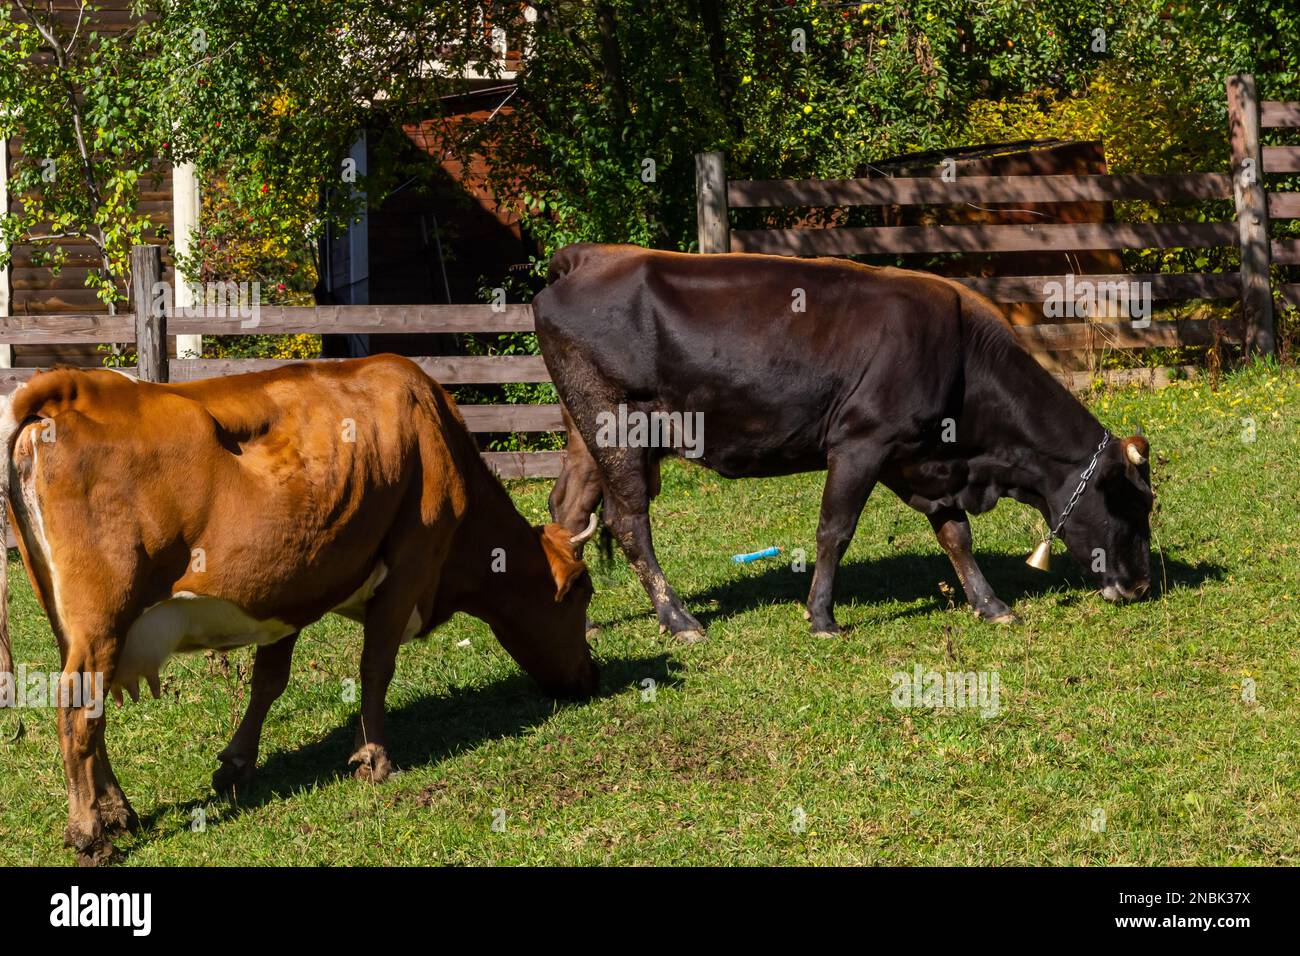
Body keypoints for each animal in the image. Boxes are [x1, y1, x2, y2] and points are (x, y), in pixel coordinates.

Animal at [0, 356, 595, 868]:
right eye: (581, 594)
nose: (590, 676)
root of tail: (71, 387)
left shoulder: (287, 585)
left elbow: (269, 680)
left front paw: (237, 763)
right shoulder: (412, 562)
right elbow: (375, 666)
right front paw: (372, 758)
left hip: (73, 622)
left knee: (91, 709)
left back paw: (117, 810)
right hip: (104, 620)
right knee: (77, 710)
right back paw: (90, 833)